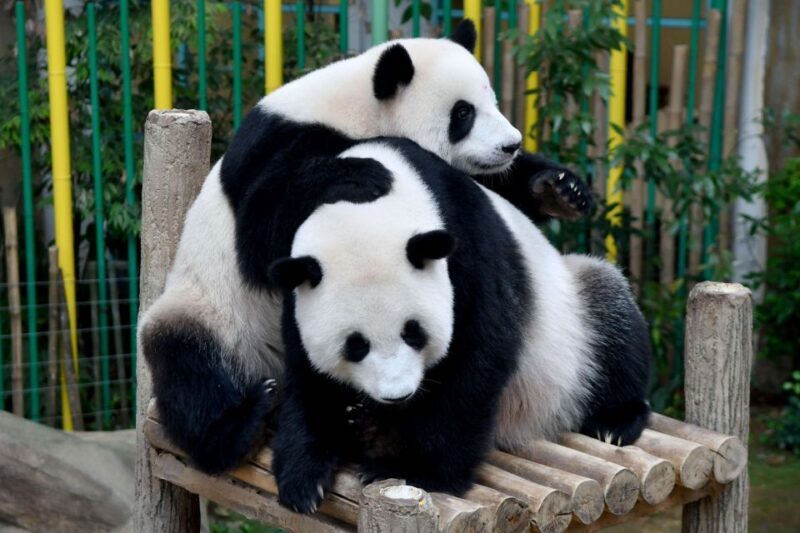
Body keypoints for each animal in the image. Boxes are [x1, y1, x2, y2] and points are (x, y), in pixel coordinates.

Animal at [141, 21, 594, 475]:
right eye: (463, 113)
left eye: (493, 101)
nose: (510, 145)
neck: (356, 106)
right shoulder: (278, 144)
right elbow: (260, 233)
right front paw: (361, 174)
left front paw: (560, 190)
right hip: (213, 313)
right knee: (189, 368)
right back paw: (239, 426)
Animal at [268, 139, 651, 513]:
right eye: (355, 345)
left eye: (414, 332)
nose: (398, 395)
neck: (364, 206)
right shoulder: (295, 283)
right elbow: (307, 373)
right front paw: (303, 477)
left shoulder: (465, 246)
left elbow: (475, 360)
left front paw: (418, 470)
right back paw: (363, 422)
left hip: (574, 321)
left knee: (611, 314)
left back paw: (616, 421)